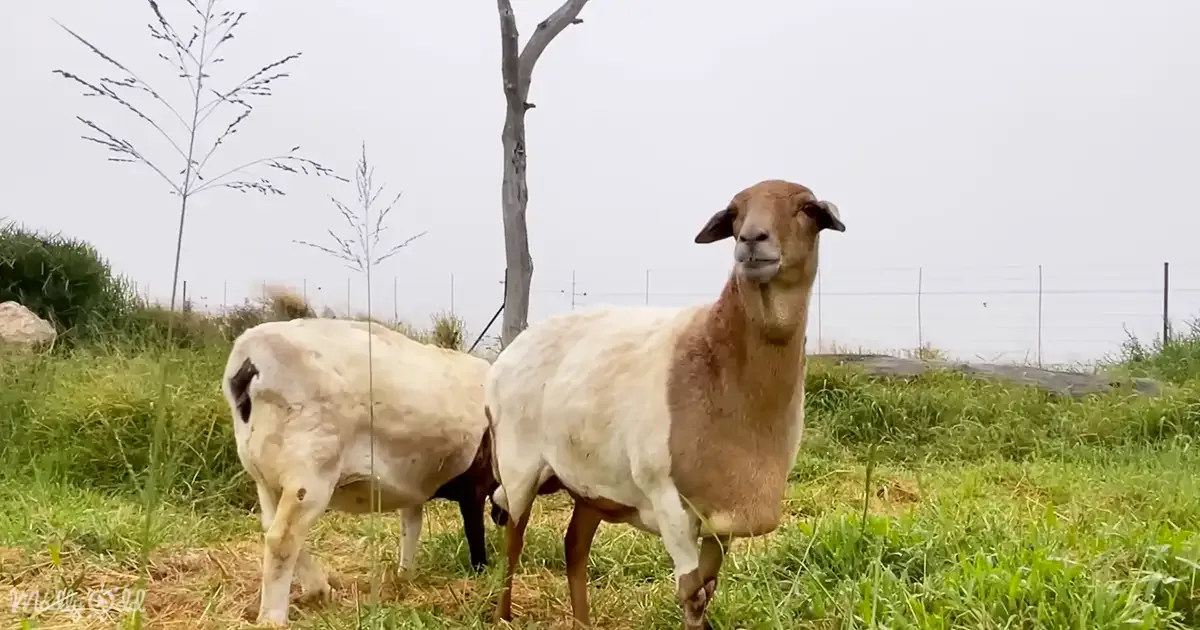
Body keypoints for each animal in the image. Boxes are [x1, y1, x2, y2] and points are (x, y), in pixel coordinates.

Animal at [221, 317, 502, 626]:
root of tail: (249, 357)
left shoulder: (414, 487)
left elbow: (410, 528)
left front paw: (404, 577)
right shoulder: (475, 485)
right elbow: (473, 532)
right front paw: (482, 572)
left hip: (265, 475)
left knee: (272, 527)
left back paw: (320, 589)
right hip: (309, 471)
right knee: (282, 539)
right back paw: (273, 618)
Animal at [484, 179, 845, 629]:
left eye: (807, 209)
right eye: (735, 214)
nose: (751, 240)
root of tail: (512, 349)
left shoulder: (721, 519)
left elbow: (708, 589)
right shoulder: (669, 503)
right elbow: (692, 596)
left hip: (592, 483)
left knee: (574, 547)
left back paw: (583, 620)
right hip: (518, 466)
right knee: (513, 541)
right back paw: (502, 616)